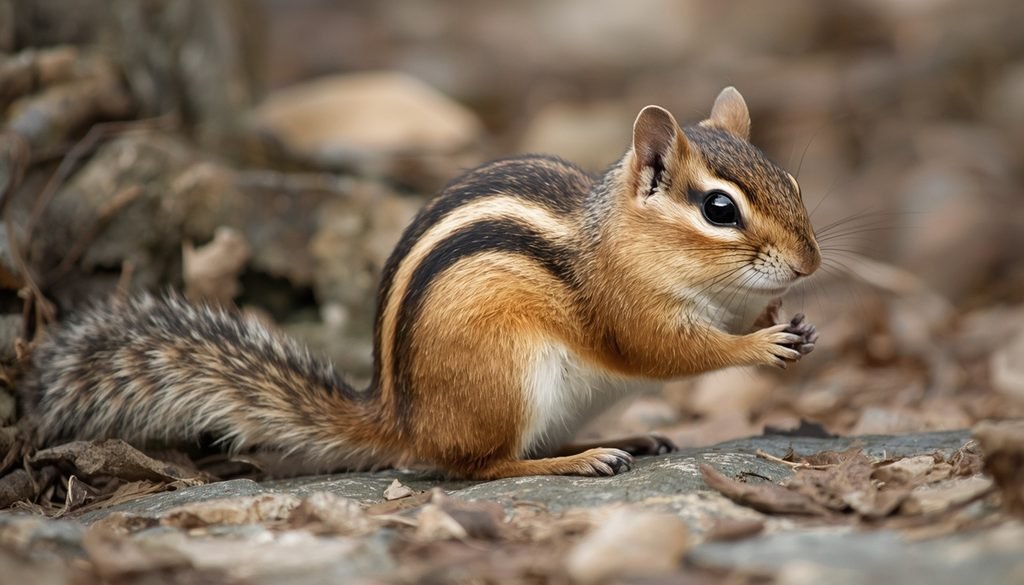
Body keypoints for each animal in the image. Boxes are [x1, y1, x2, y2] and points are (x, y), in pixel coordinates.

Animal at [22, 87, 820, 480]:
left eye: (792, 181)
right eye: (719, 210)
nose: (809, 265)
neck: (619, 237)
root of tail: (400, 417)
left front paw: (786, 319)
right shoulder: (624, 308)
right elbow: (669, 352)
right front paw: (760, 344)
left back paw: (624, 436)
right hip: (509, 374)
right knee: (480, 467)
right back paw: (580, 458)